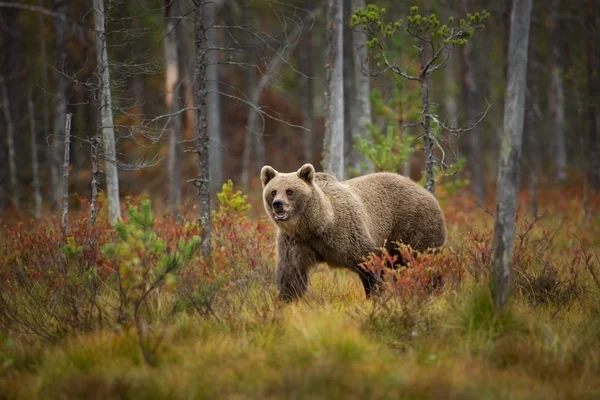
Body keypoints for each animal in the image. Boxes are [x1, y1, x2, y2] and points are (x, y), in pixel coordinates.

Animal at [260, 162, 448, 300]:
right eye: (273, 191)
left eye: (290, 191)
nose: (278, 204)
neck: (316, 226)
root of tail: (427, 192)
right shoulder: (295, 241)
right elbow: (291, 272)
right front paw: (288, 299)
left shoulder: (349, 235)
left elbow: (369, 264)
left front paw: (375, 296)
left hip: (414, 227)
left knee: (423, 260)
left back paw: (434, 289)